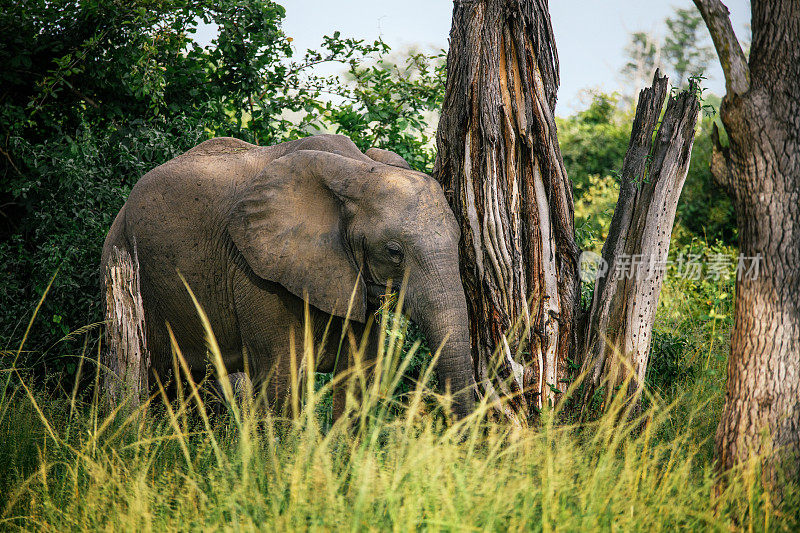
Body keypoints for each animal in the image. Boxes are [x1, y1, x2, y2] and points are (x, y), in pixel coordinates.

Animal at [100, 133, 476, 416]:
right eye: (394, 252)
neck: (355, 170)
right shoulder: (257, 271)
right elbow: (283, 374)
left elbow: (357, 375)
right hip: (127, 268)